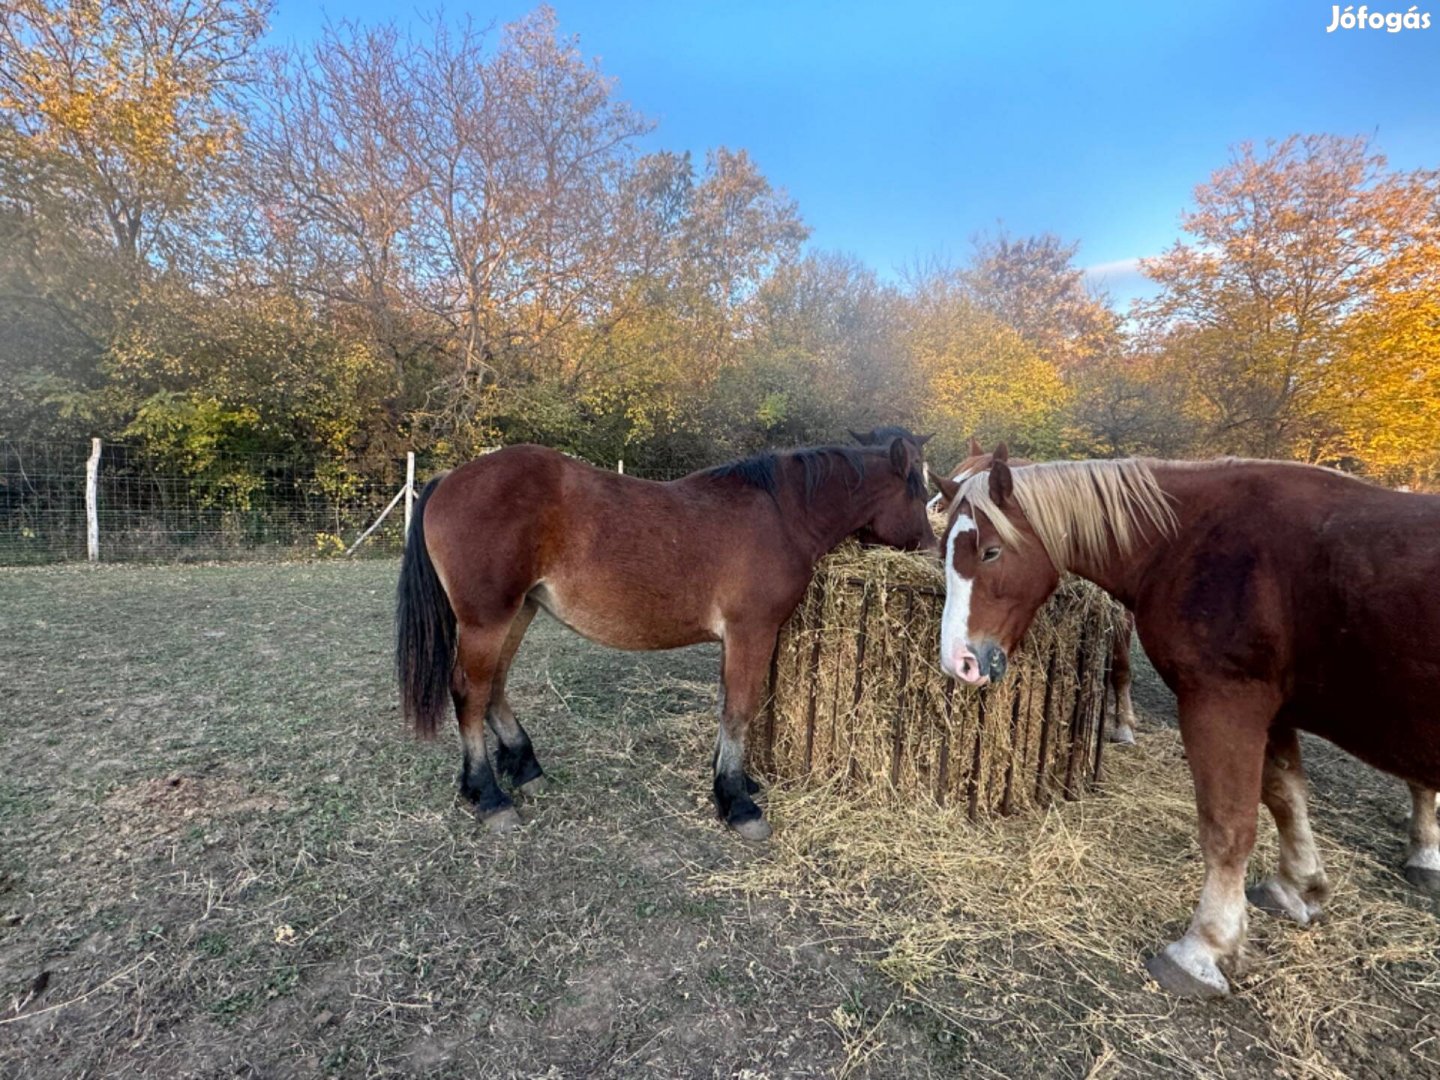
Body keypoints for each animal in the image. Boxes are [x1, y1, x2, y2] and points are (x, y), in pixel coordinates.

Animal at [397, 434, 933, 840]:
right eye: (918, 492)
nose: (931, 546)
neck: (781, 514)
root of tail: (449, 479)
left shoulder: (736, 640)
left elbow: (727, 708)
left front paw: (735, 783)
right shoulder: (751, 632)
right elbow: (739, 710)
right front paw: (738, 804)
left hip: (518, 612)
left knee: (494, 690)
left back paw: (525, 768)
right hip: (487, 620)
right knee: (470, 693)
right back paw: (488, 796)